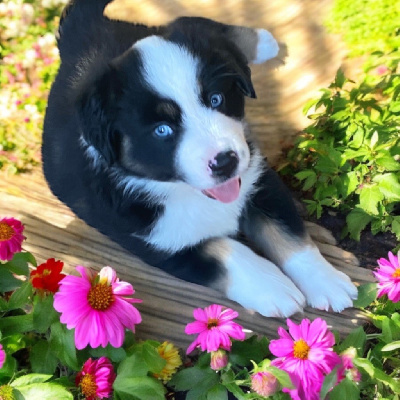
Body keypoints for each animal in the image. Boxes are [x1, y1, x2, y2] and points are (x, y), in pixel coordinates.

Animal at [42, 0, 358, 318]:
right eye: (162, 130)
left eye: (216, 99)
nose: (225, 162)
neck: (186, 193)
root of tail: (79, 37)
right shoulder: (157, 242)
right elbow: (224, 252)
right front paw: (273, 287)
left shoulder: (259, 178)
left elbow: (289, 233)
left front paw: (326, 282)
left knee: (203, 27)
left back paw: (263, 41)